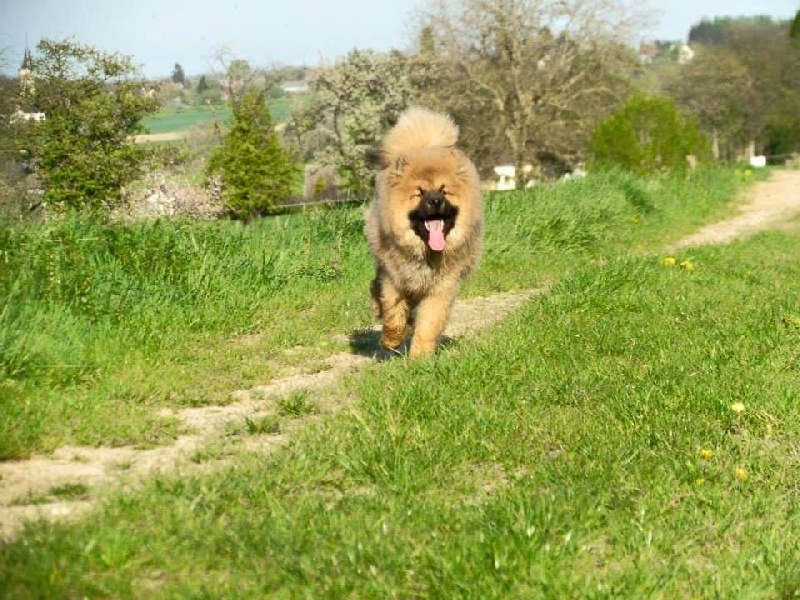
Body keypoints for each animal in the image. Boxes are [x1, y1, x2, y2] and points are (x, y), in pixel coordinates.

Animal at [366, 108, 484, 358]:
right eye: (419, 193)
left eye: (443, 191)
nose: (435, 201)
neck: (427, 253)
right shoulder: (395, 278)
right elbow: (393, 313)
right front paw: (390, 340)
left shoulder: (441, 288)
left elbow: (429, 325)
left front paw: (419, 358)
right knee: (377, 287)